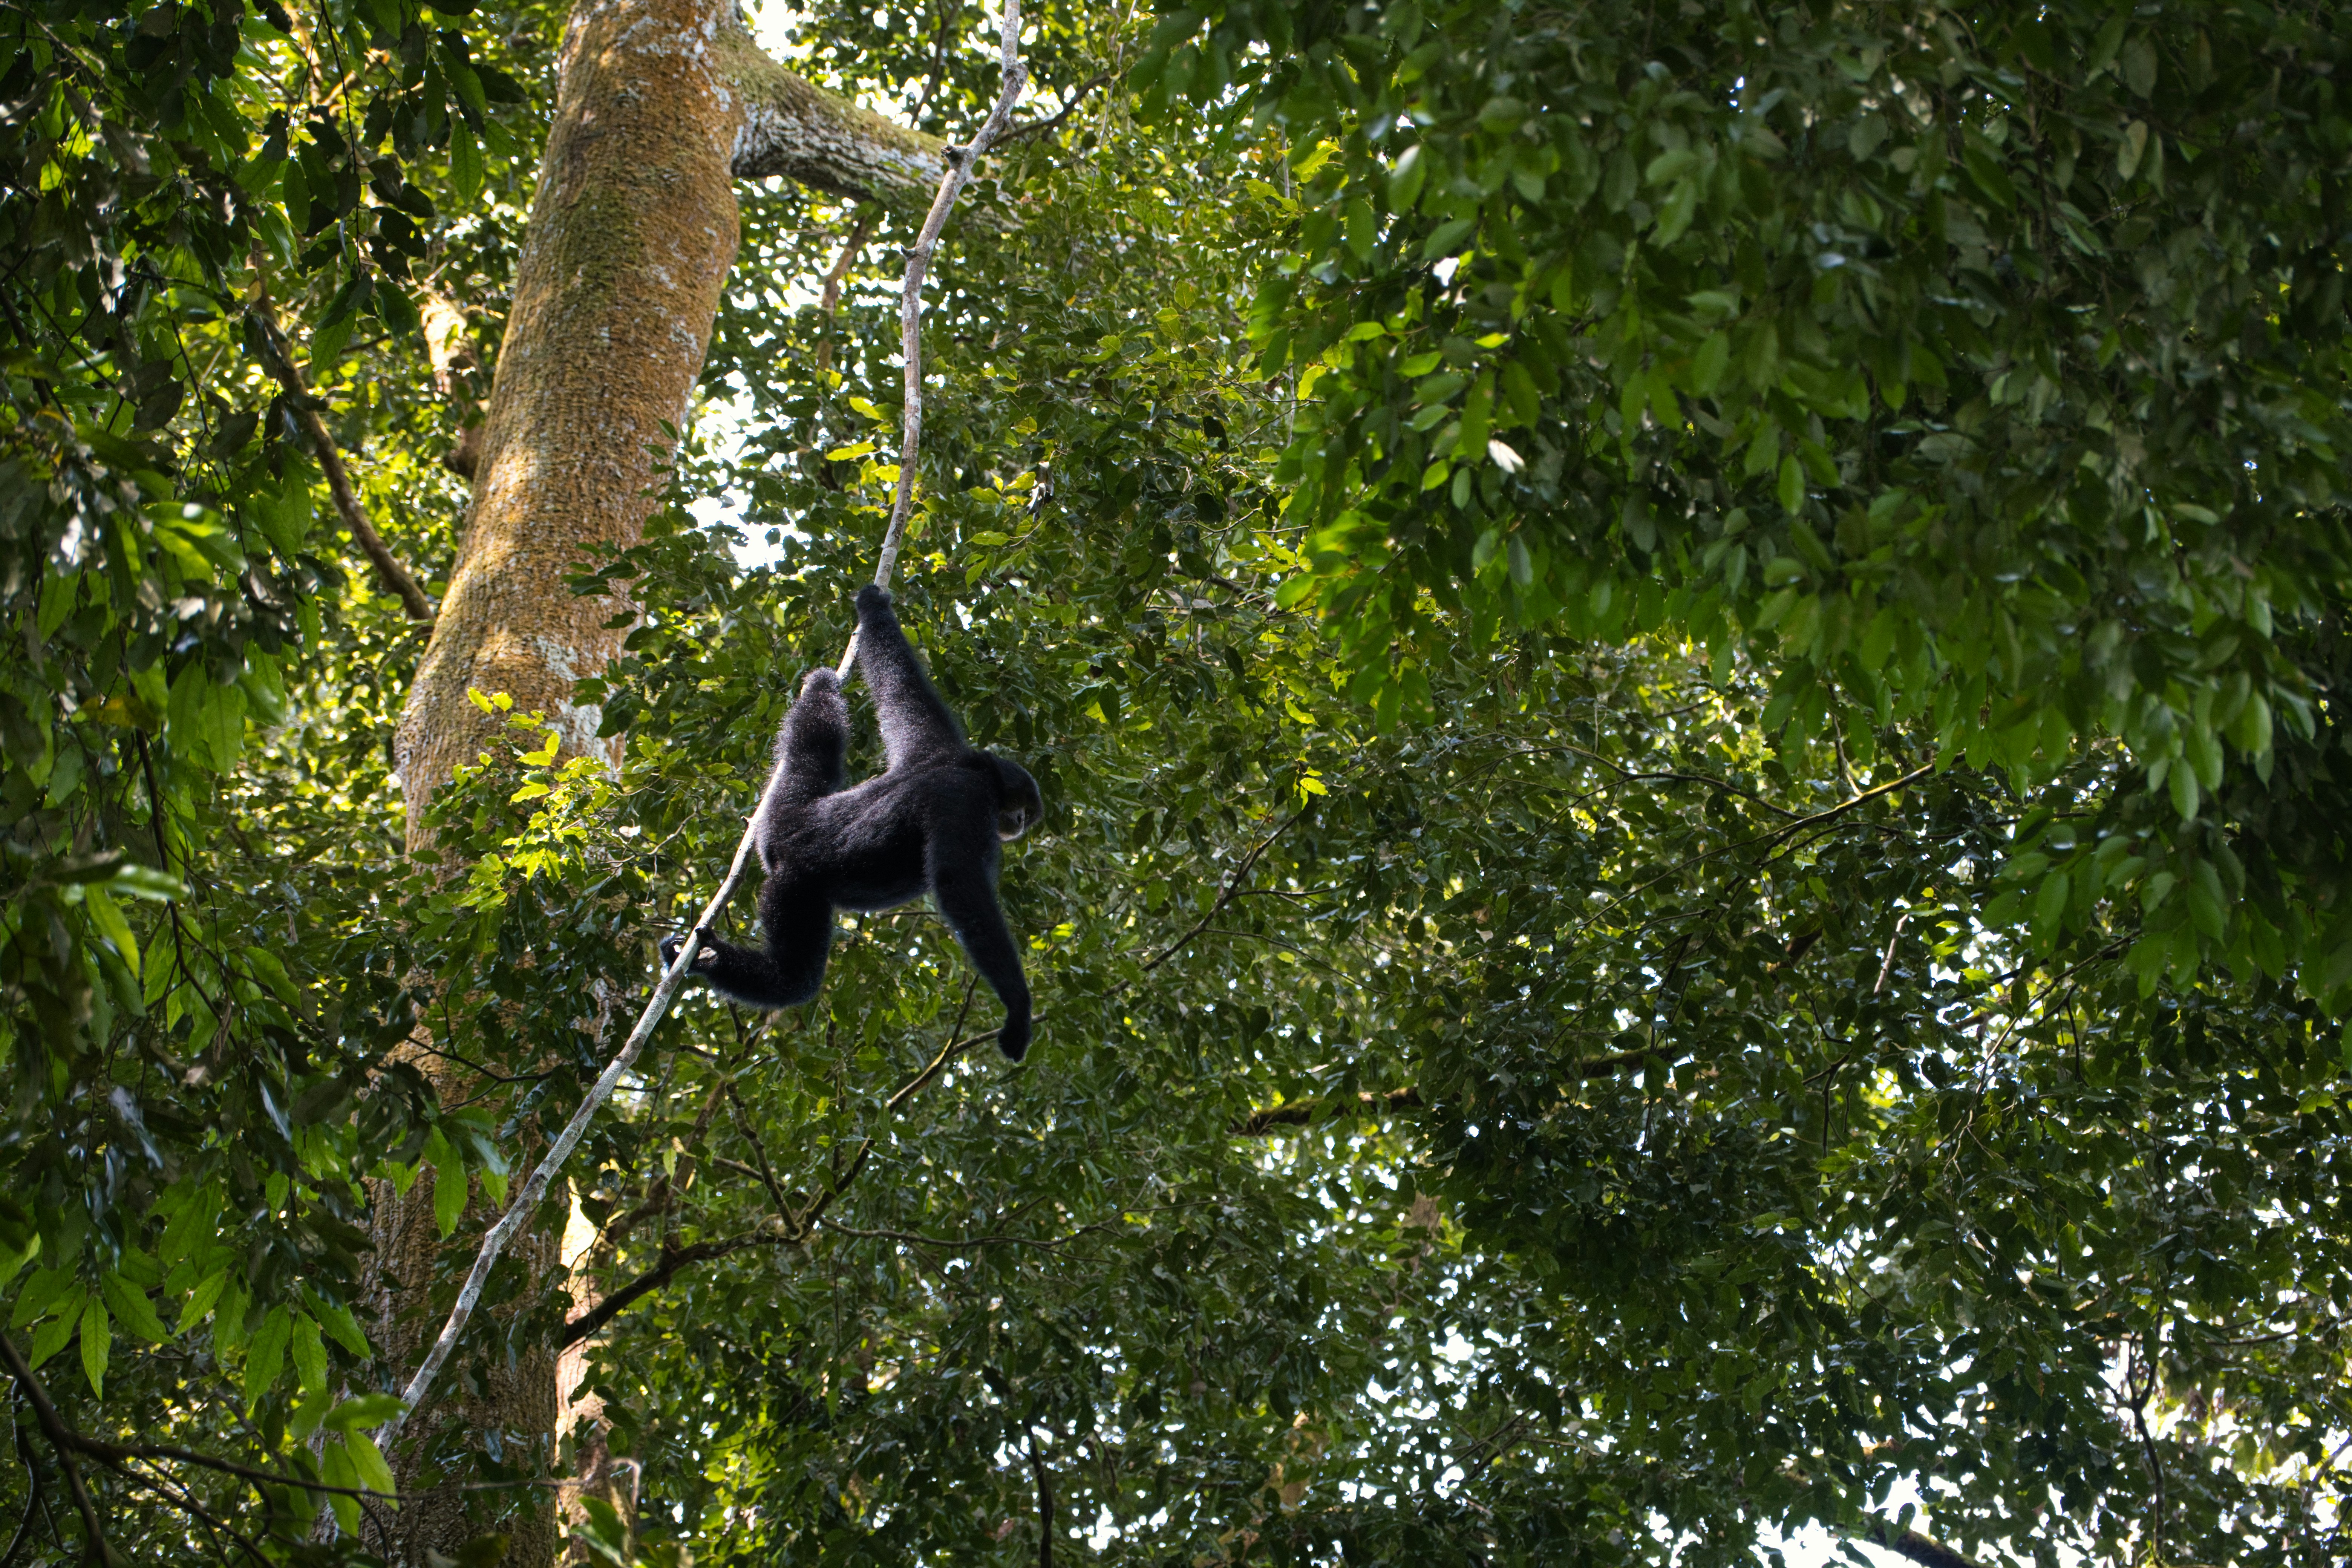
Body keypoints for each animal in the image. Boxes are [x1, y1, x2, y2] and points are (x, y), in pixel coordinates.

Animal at [661, 585, 1043, 1060]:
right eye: (1020, 806)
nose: (1021, 820)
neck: (970, 767)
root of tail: (787, 827)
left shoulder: (931, 744)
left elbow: (899, 687)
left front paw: (873, 605)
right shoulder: (965, 797)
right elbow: (959, 881)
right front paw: (1018, 1011)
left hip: (791, 801)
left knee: (813, 740)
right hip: (794, 881)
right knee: (796, 979)